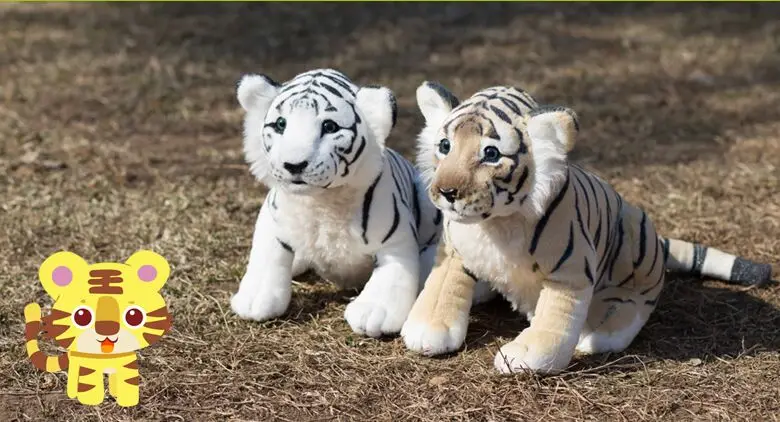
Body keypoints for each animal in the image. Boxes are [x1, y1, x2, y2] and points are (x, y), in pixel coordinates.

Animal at [229, 69, 493, 338]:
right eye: (281, 124)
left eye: (329, 126)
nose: (294, 165)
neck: (319, 200)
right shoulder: (272, 220)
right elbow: (266, 257)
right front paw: (255, 300)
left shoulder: (394, 238)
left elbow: (390, 276)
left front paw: (374, 313)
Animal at [400, 82, 774, 374]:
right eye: (445, 146)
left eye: (490, 154)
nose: (446, 192)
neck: (493, 224)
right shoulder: (453, 252)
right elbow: (441, 289)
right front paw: (427, 328)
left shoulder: (569, 272)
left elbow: (554, 318)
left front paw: (525, 355)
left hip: (633, 245)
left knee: (632, 303)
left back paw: (601, 330)